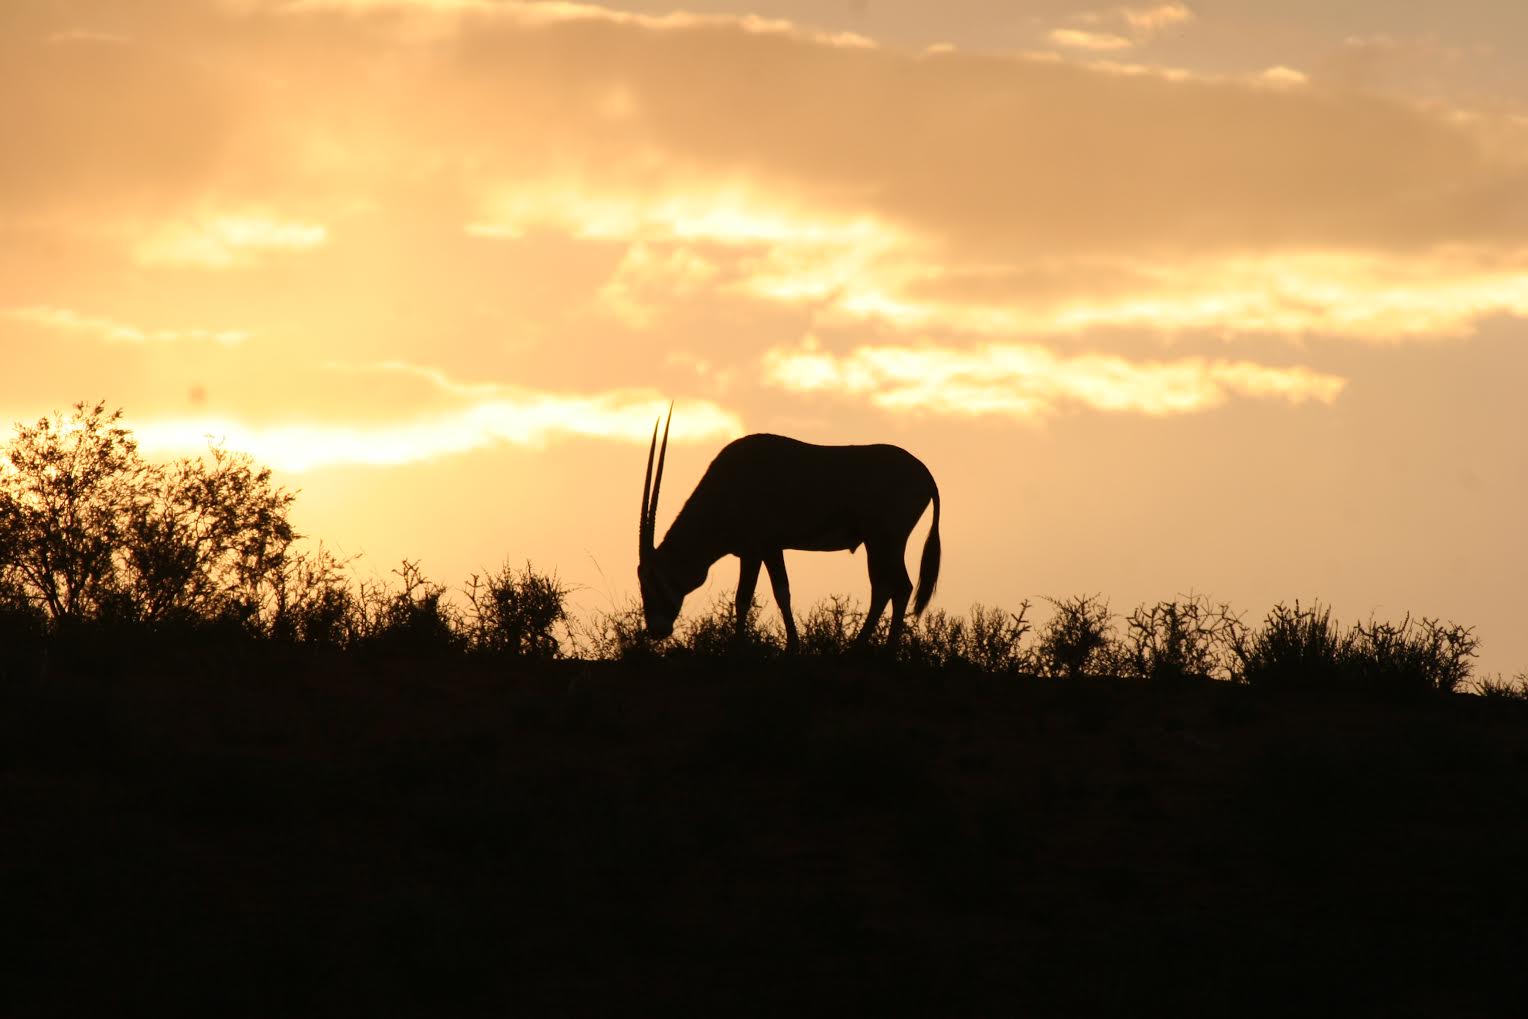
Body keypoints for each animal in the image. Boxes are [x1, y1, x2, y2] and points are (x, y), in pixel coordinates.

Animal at [635, 409, 941, 653]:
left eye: (654, 579)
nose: (657, 630)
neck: (726, 487)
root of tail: (925, 475)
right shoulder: (772, 549)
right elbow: (782, 592)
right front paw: (792, 646)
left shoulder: (754, 550)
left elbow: (745, 598)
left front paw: (740, 647)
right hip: (878, 543)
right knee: (885, 587)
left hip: (885, 541)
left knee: (897, 586)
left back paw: (878, 652)